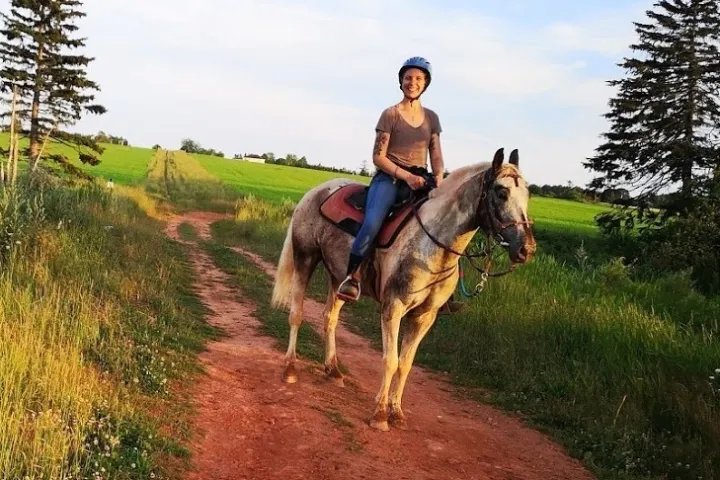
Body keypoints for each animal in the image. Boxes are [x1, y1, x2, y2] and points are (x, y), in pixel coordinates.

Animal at [270, 147, 536, 431]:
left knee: (329, 318)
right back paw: (290, 369)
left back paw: (333, 370)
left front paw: (396, 412)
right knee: (296, 314)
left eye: (527, 194)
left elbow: (406, 363)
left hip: (337, 276)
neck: (434, 244)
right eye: (501, 192)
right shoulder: (393, 308)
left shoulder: (424, 316)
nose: (526, 249)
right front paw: (380, 414)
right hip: (305, 258)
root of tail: (315, 191)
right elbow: (390, 360)